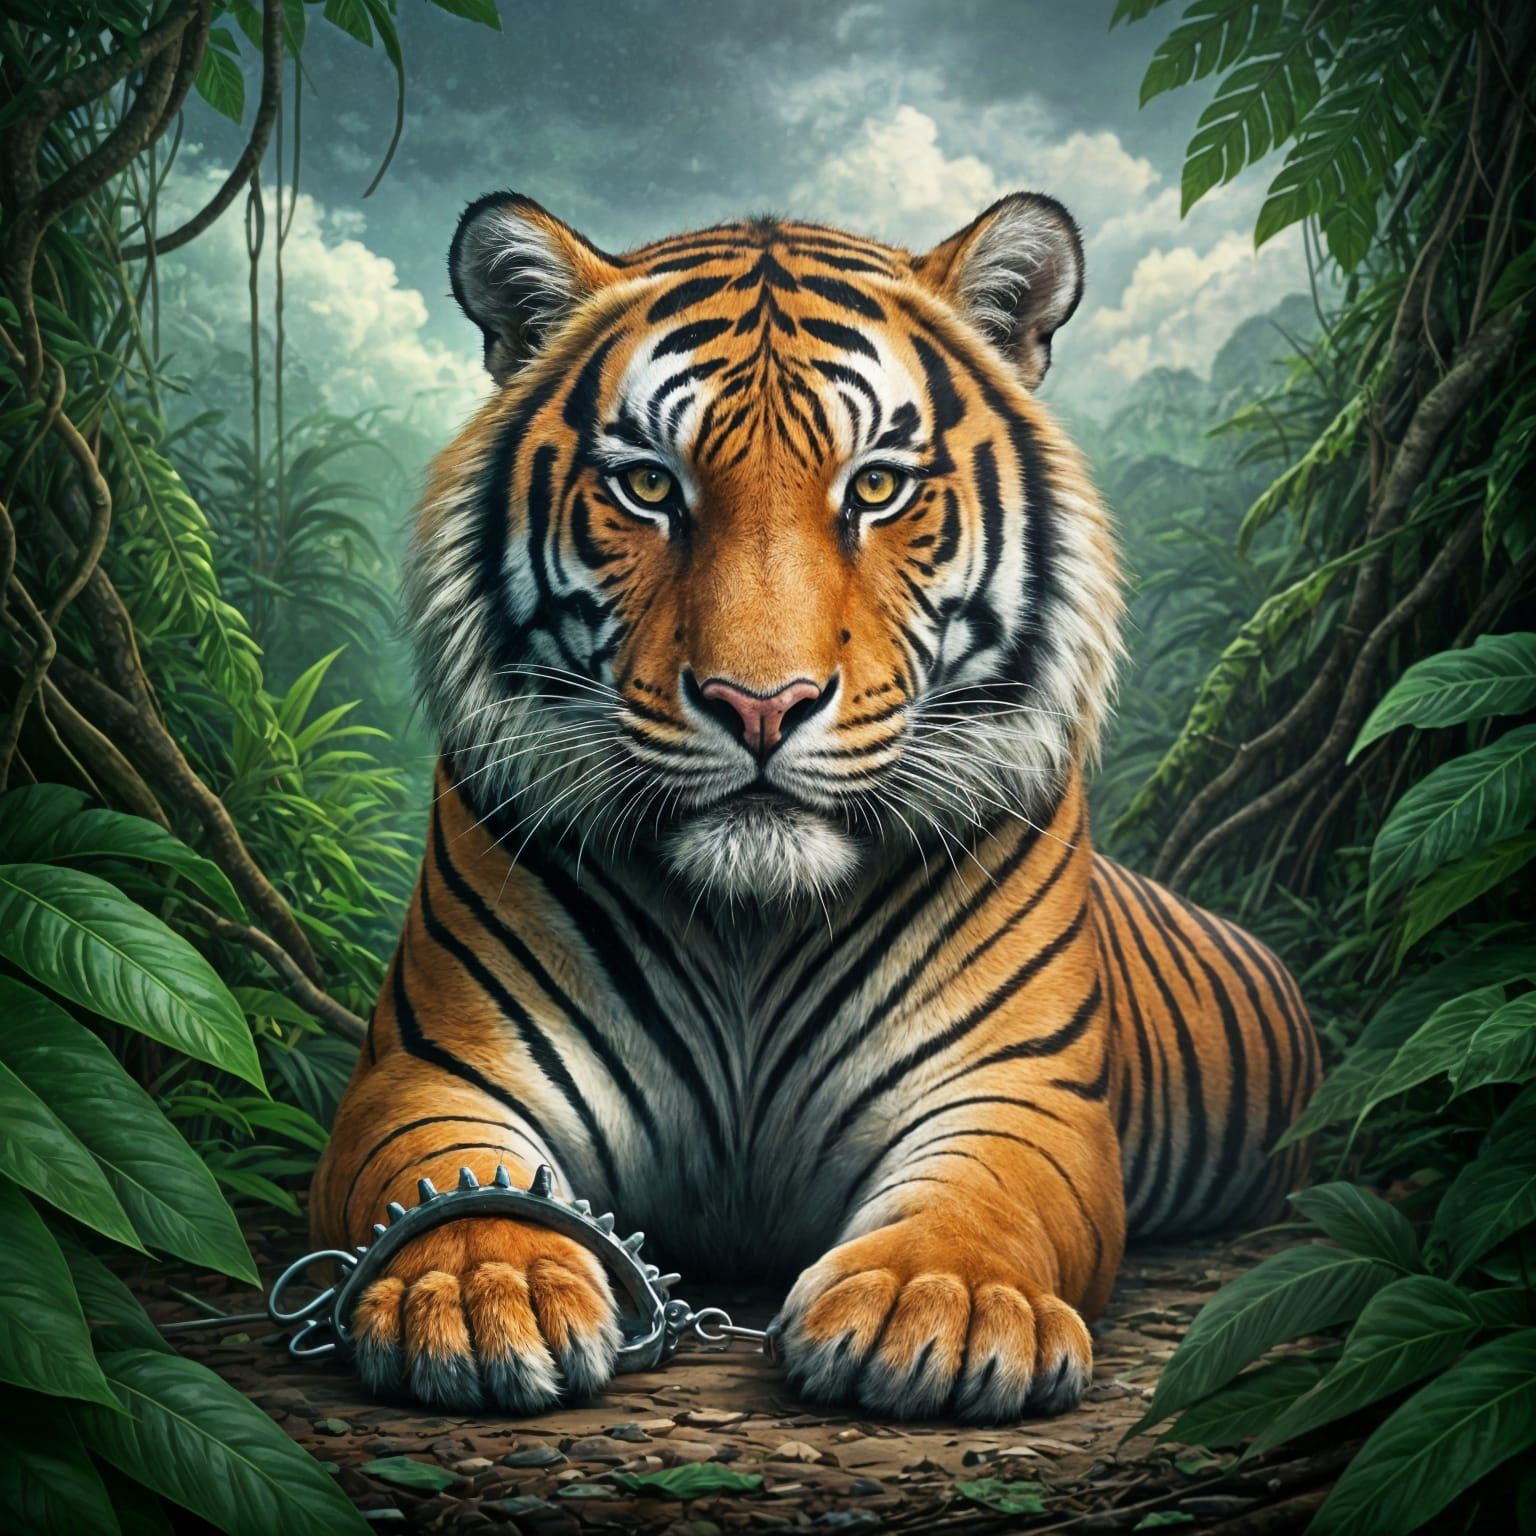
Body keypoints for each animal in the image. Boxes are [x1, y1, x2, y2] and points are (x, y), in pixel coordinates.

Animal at [309, 188, 1319, 1423]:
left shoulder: (1019, 1087)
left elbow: (985, 1196)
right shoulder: (431, 1067)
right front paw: (478, 1288)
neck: (750, 923)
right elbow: (448, 1172)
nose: (760, 704)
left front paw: (938, 1304)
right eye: (650, 486)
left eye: (876, 487)